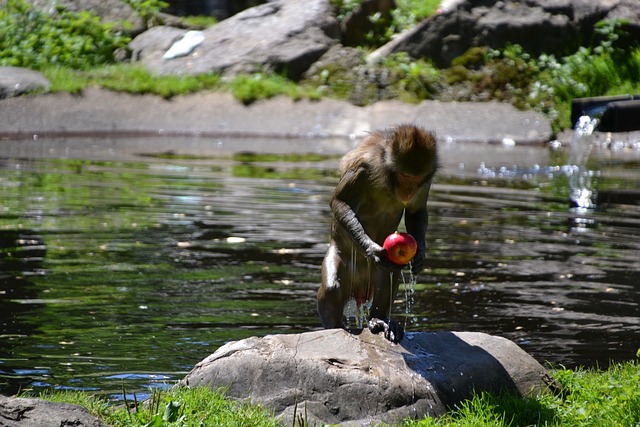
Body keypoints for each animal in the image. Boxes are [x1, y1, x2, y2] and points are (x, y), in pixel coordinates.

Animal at [317, 124, 438, 343]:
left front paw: (420, 254)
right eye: (404, 176)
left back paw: (379, 319)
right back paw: (336, 327)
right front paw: (371, 249)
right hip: (343, 263)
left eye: (415, 179)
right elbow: (341, 202)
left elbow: (416, 211)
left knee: (389, 273)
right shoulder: (363, 167)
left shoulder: (426, 180)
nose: (408, 191)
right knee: (332, 287)